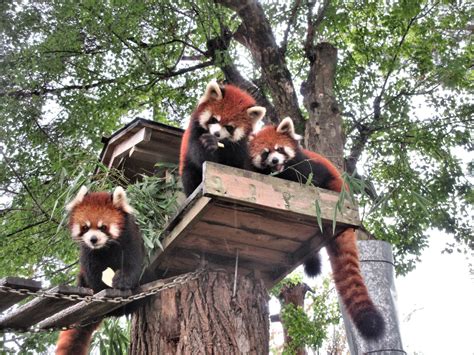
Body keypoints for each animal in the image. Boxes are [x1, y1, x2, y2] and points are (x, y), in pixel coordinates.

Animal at [56, 186, 144, 355]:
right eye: (85, 227)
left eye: (103, 227)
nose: (93, 239)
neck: (105, 247)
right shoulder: (88, 253)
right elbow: (93, 274)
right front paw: (101, 288)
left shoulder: (130, 240)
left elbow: (133, 265)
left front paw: (121, 281)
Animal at [248, 119, 386, 342]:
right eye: (265, 153)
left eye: (279, 149)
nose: (275, 160)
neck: (283, 170)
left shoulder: (307, 165)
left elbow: (309, 175)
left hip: (334, 187)